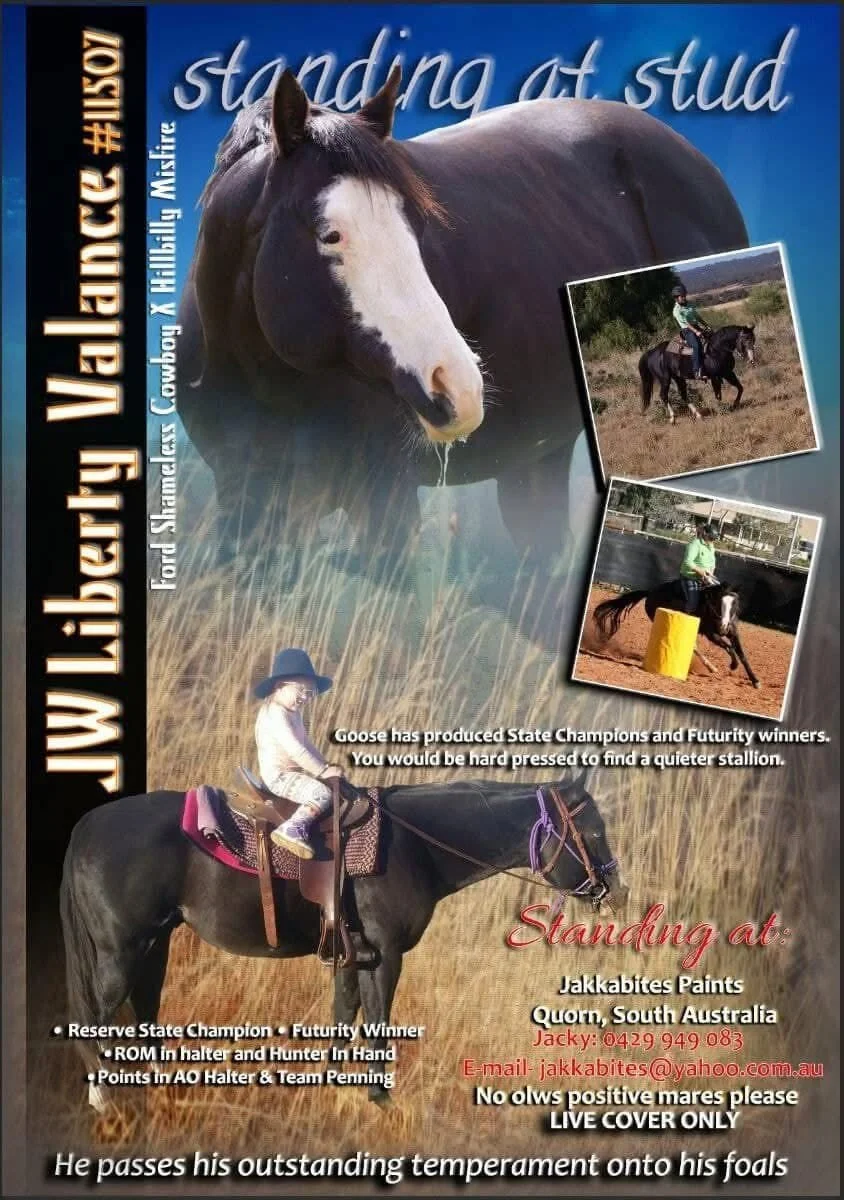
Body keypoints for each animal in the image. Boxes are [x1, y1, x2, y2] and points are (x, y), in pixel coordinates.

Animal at [60, 774, 627, 1110]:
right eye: (593, 833)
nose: (616, 891)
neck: (413, 845)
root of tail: (88, 824)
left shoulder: (353, 957)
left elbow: (343, 1015)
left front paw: (332, 1085)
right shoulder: (385, 956)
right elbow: (376, 1024)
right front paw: (380, 1100)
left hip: (154, 945)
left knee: (143, 1013)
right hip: (121, 952)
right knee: (96, 1021)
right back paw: (104, 1101)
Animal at [177, 65, 748, 572]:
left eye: (417, 228)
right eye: (330, 234)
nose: (459, 385)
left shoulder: (386, 503)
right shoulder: (247, 510)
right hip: (535, 461)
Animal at [592, 579, 760, 688]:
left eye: (734, 603)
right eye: (718, 602)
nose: (723, 626)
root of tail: (651, 592)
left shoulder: (733, 633)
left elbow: (742, 655)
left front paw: (755, 680)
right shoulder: (712, 634)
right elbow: (730, 648)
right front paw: (733, 665)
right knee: (695, 647)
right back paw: (712, 667)